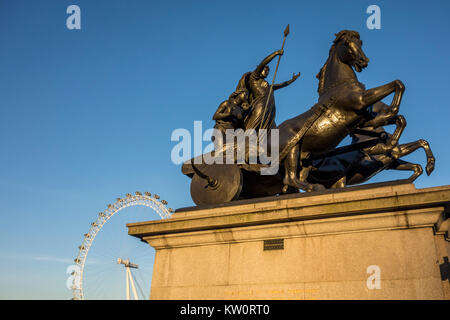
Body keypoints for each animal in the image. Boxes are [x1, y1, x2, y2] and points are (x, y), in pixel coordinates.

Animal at [276, 30, 406, 192]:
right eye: (346, 43)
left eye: (360, 42)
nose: (364, 60)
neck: (340, 85)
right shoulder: (361, 100)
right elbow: (396, 85)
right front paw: (388, 138)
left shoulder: (363, 119)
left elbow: (397, 116)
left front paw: (389, 141)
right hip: (293, 148)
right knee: (290, 178)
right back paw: (315, 187)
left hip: (306, 158)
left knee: (296, 177)